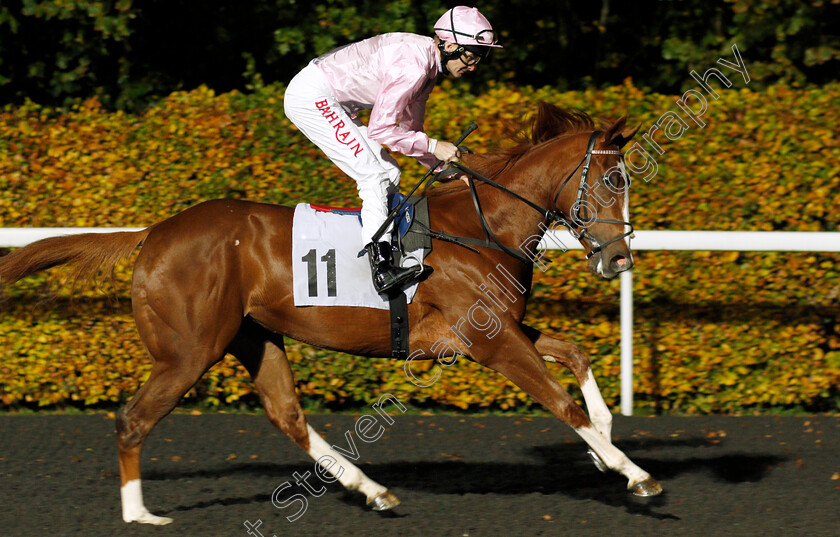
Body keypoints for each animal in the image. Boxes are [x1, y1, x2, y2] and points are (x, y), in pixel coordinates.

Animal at [0, 102, 664, 524]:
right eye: (612, 179)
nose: (620, 258)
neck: (483, 227)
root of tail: (154, 232)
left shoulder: (496, 328)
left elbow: (575, 354)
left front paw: (604, 437)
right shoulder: (492, 341)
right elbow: (559, 400)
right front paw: (632, 472)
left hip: (253, 336)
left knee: (286, 414)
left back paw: (370, 489)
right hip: (190, 350)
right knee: (133, 419)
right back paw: (139, 513)